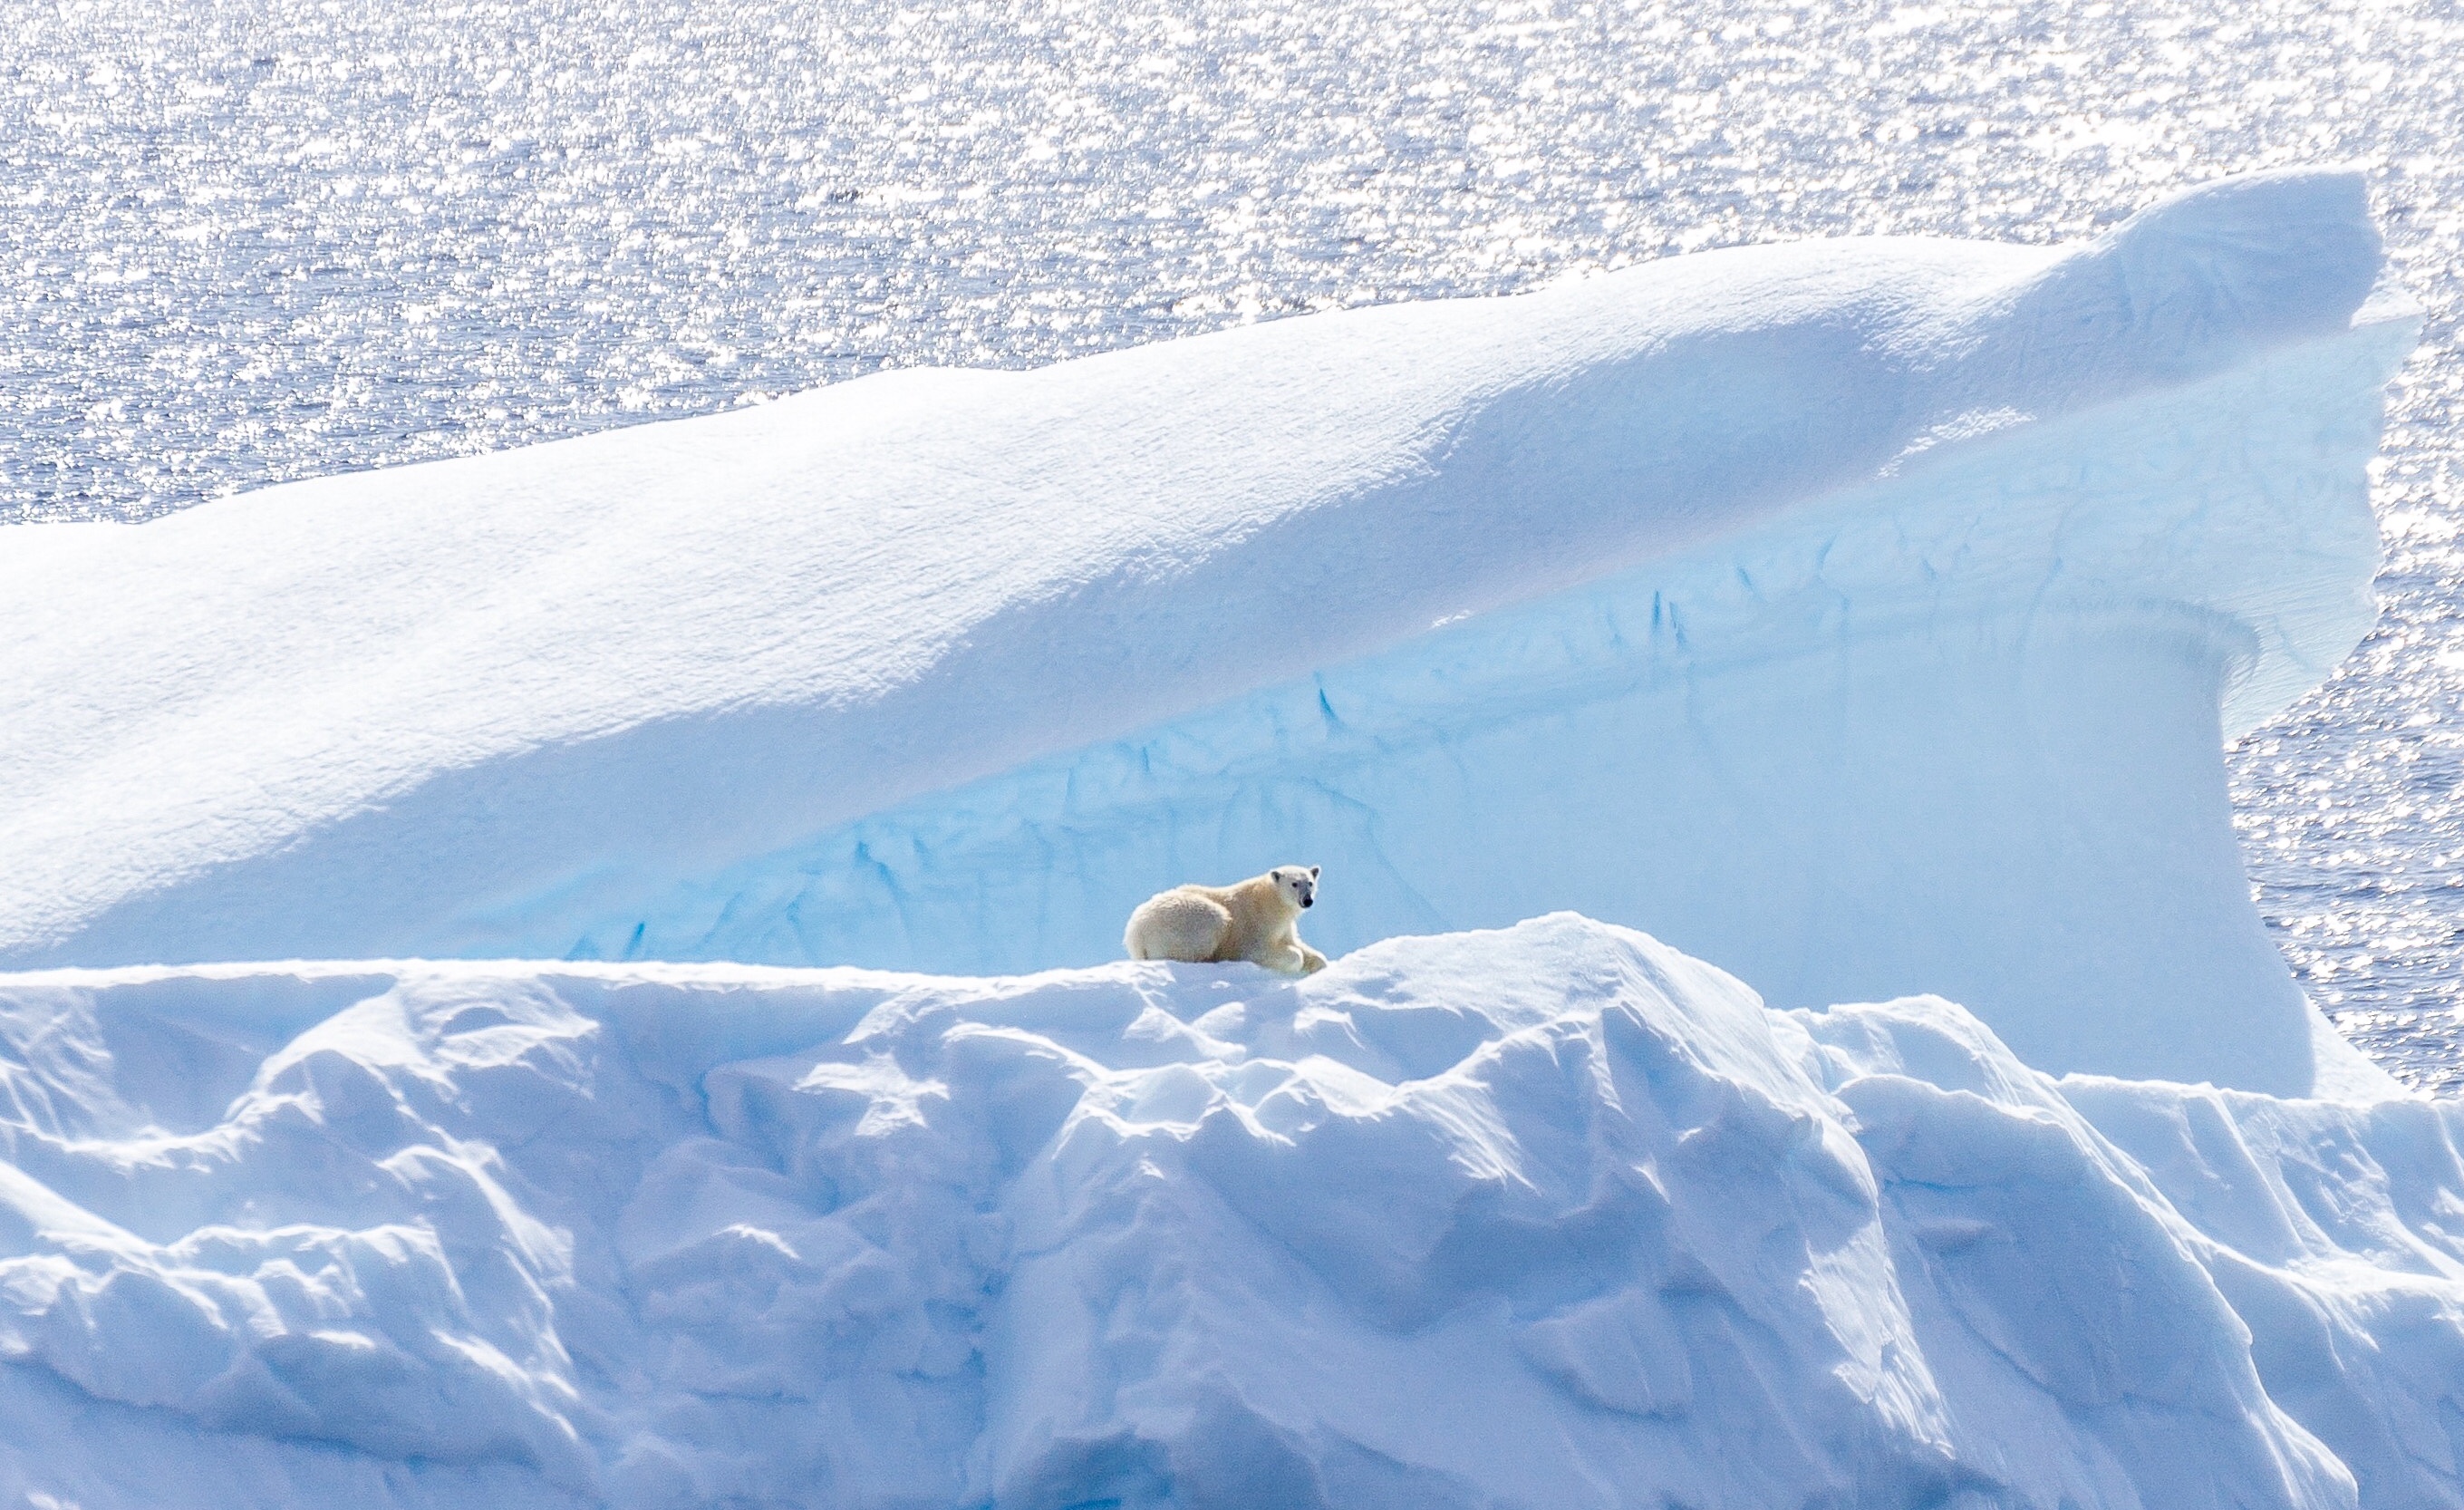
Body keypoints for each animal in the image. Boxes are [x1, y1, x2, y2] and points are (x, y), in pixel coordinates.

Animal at [1128, 862, 1330, 975]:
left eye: (1310, 883)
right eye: (1294, 884)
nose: (1307, 900)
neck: (1271, 900)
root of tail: (1135, 934)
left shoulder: (1284, 926)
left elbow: (1298, 945)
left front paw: (1318, 964)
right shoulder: (1257, 923)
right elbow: (1258, 951)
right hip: (1184, 920)